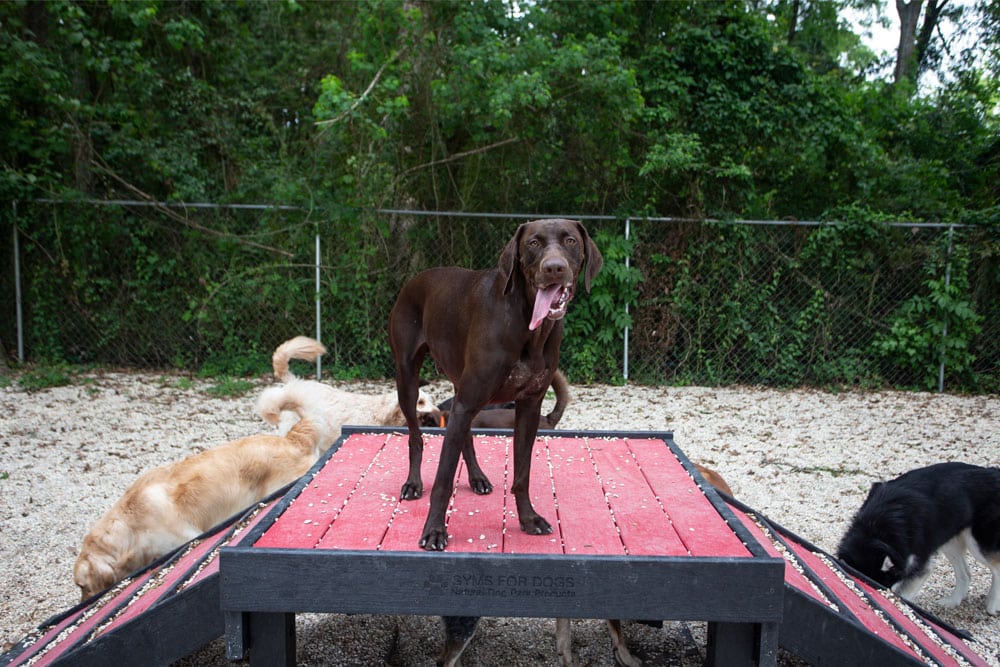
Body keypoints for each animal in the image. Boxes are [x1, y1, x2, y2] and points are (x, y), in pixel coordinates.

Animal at [390, 217, 600, 552]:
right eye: (534, 243)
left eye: (570, 241)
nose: (554, 268)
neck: (529, 325)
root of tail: (415, 279)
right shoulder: (467, 401)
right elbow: (443, 479)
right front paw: (434, 531)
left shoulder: (528, 408)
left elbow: (522, 474)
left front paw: (528, 519)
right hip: (408, 378)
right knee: (416, 437)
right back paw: (413, 483)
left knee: (464, 436)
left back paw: (477, 478)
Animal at [836, 462, 1000, 612]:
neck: (875, 528)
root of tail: (993, 472)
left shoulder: (919, 567)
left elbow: (903, 594)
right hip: (949, 537)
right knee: (966, 573)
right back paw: (952, 601)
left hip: (978, 545)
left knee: (996, 569)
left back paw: (992, 605)